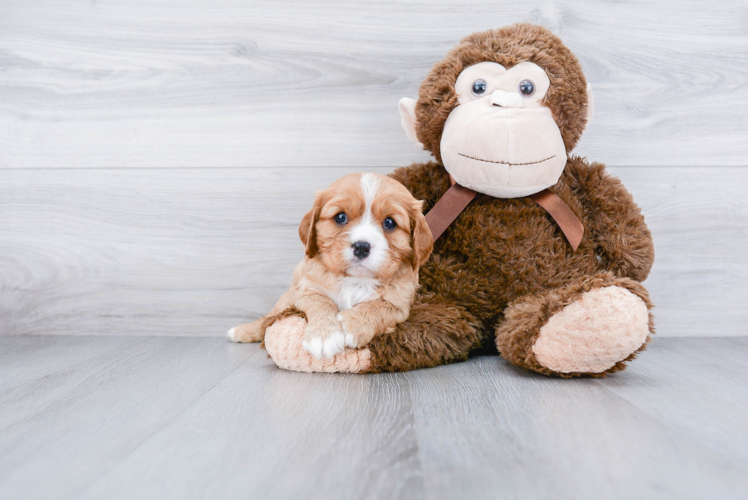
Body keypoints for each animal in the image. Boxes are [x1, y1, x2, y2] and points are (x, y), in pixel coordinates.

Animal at [228, 173, 432, 360]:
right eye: (340, 217)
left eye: (390, 223)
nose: (361, 246)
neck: (356, 279)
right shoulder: (306, 290)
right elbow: (321, 302)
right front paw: (323, 336)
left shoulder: (400, 306)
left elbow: (379, 307)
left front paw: (351, 325)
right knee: (268, 318)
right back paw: (240, 331)